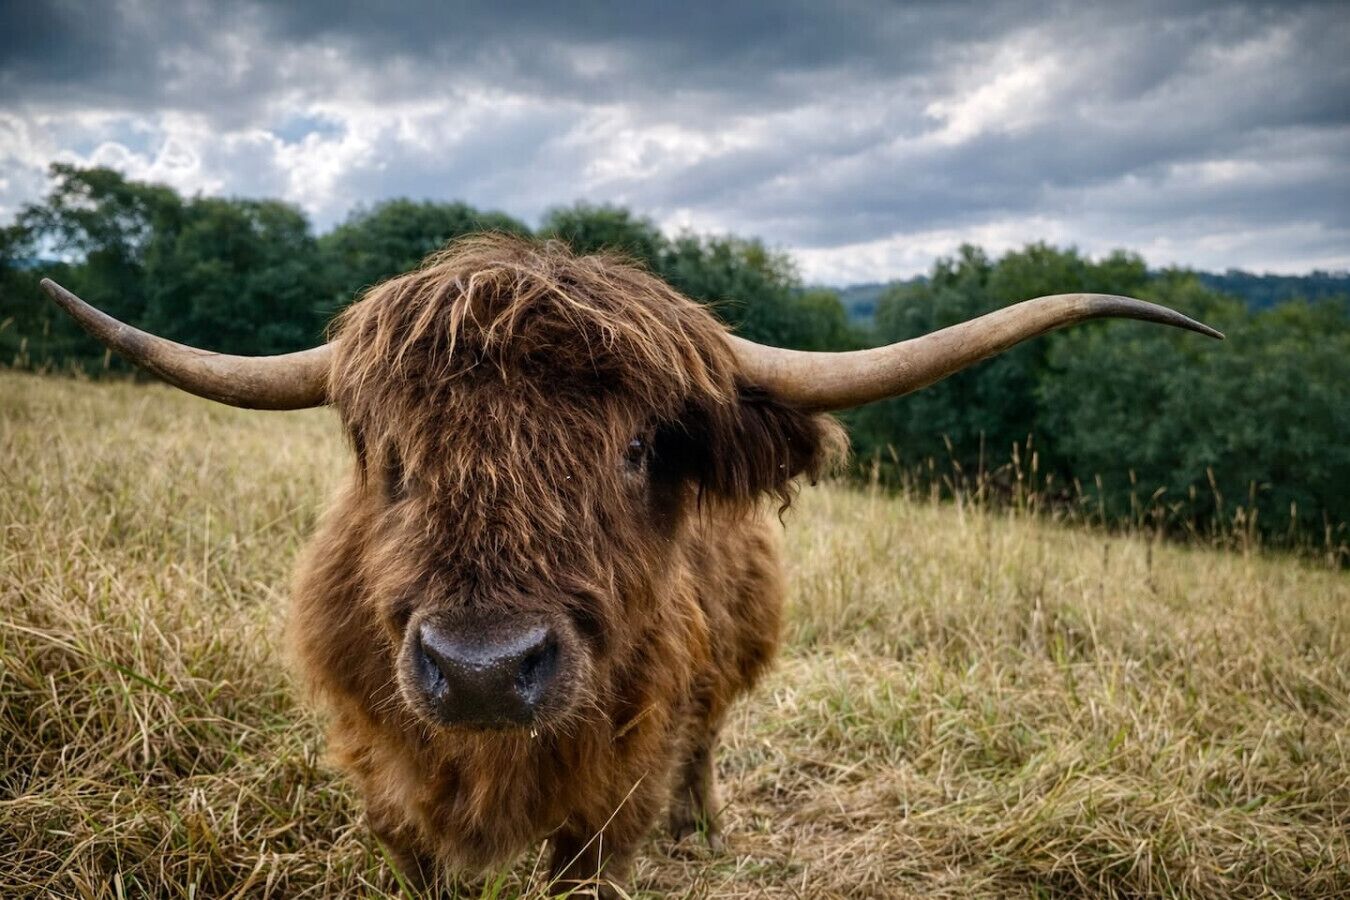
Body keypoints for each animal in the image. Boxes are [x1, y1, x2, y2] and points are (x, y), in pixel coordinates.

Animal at [41, 234, 1221, 895]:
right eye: (393, 455)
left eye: (642, 447)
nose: (480, 669)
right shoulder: (387, 780)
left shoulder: (610, 802)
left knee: (706, 741)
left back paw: (708, 824)